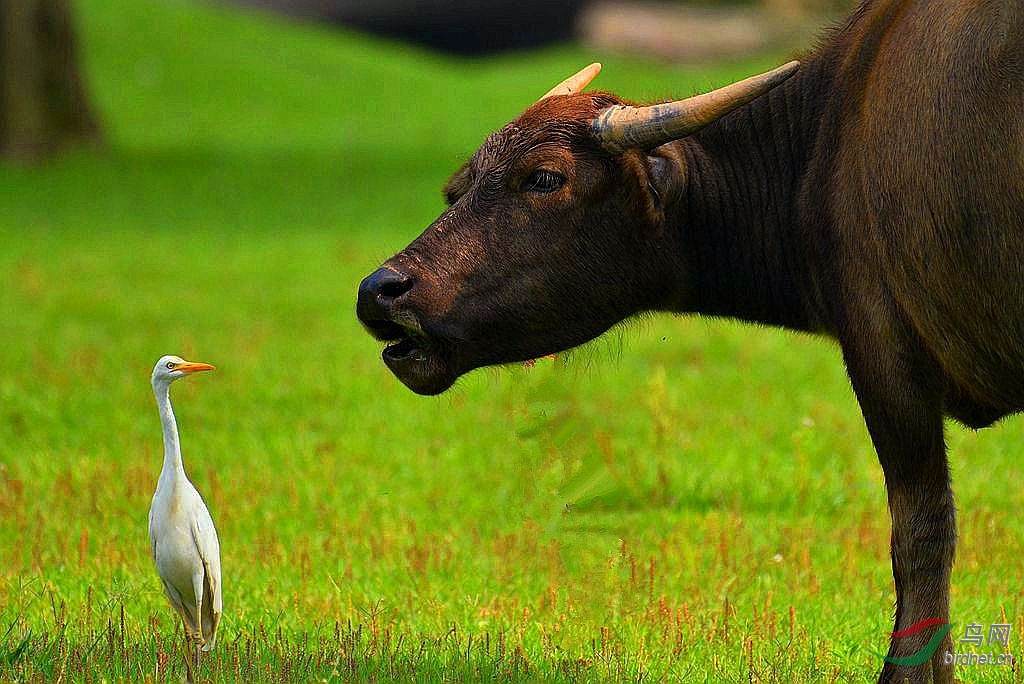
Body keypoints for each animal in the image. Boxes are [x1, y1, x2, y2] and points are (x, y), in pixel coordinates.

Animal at [358, 2, 1024, 679]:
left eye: (544, 177)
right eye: (460, 186)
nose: (380, 291)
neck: (824, 140)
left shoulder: (883, 347)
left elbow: (921, 531)